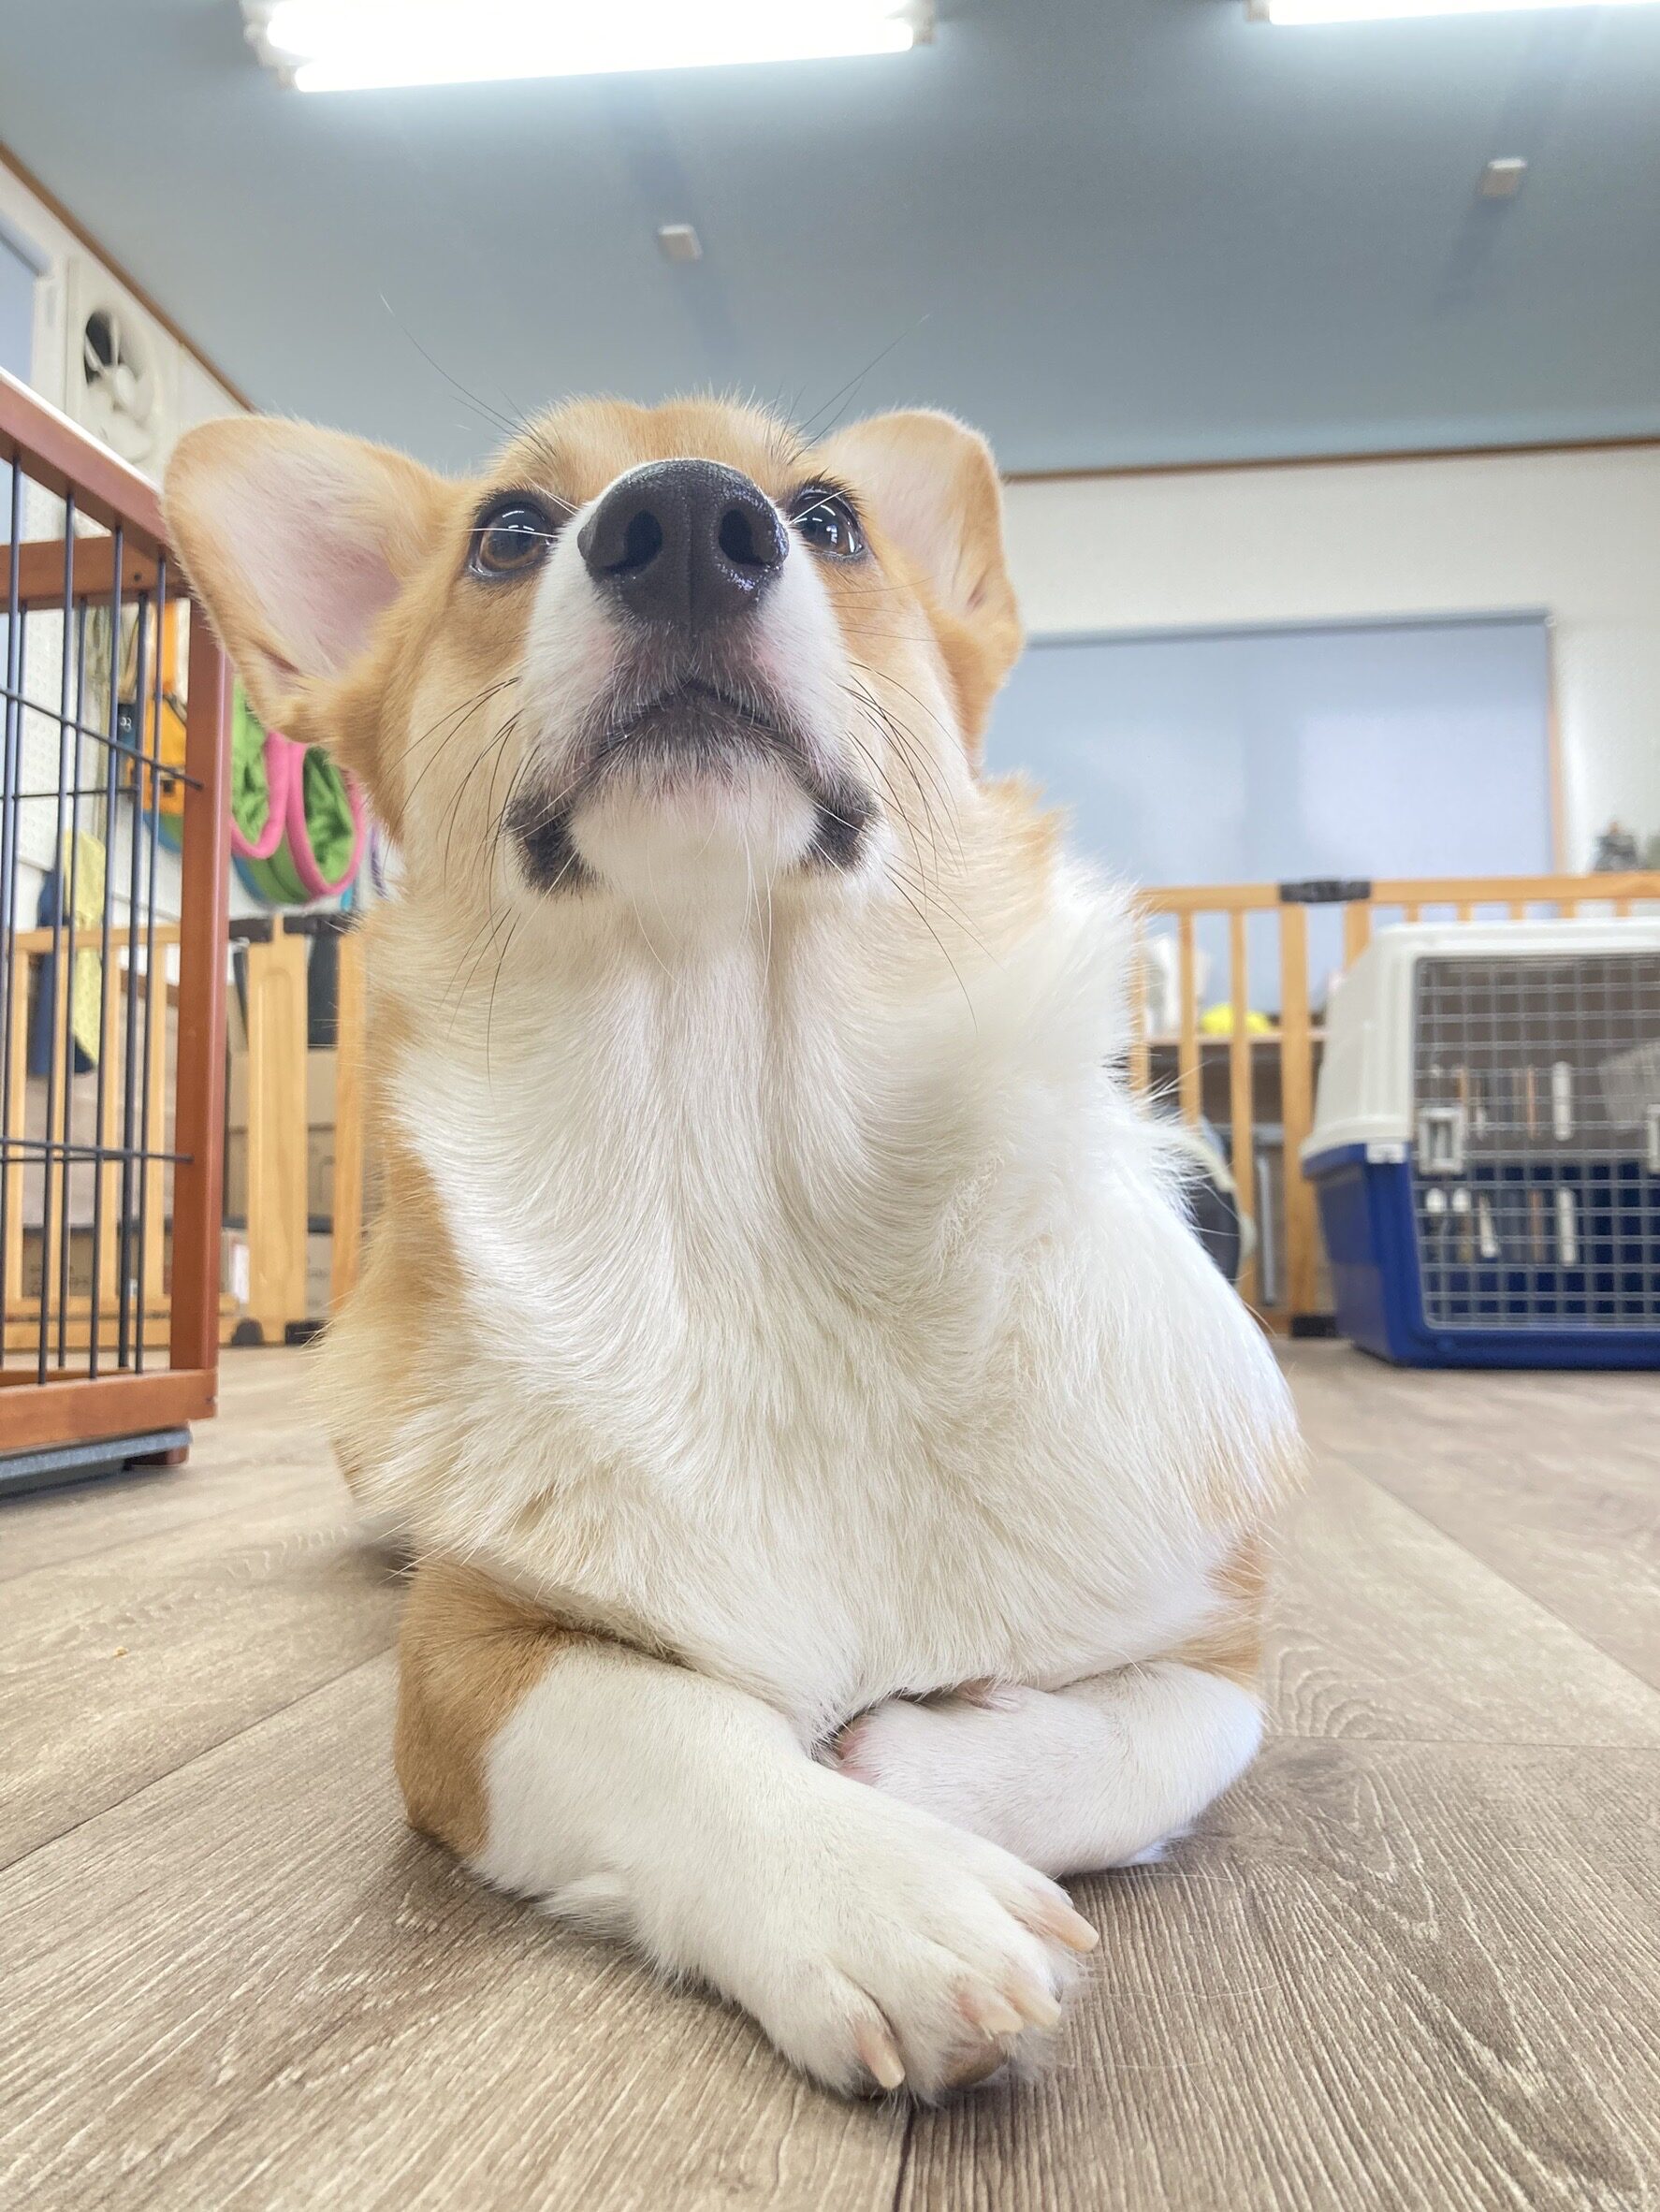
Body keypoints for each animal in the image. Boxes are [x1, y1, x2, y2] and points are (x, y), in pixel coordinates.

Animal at [165, 397, 1297, 2100]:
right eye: (507, 533)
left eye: (828, 519)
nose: (689, 524)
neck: (749, 1181)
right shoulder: (469, 1668)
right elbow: (670, 1732)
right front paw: (877, 1886)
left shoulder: (1223, 1639)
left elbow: (1148, 1733)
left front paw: (913, 1766)